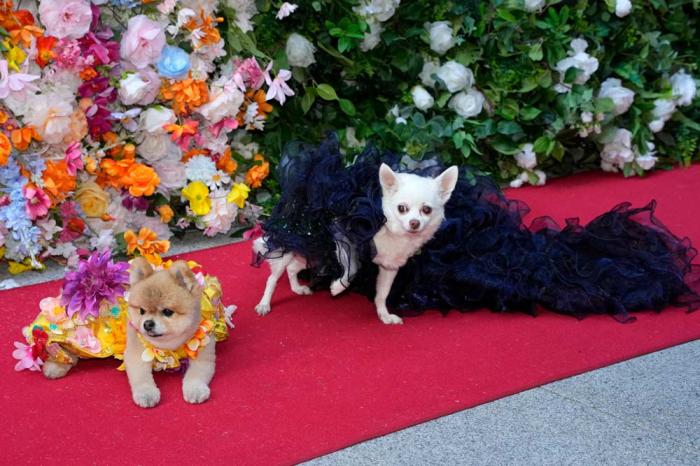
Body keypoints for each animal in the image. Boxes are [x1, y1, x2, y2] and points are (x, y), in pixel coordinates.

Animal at [253, 163, 460, 324]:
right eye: (402, 208)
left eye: (427, 210)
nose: (414, 223)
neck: (389, 228)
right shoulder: (342, 235)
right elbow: (352, 267)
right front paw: (338, 287)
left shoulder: (389, 267)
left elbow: (382, 293)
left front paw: (384, 314)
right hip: (292, 244)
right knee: (273, 278)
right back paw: (264, 304)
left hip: (310, 250)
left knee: (292, 268)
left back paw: (297, 288)